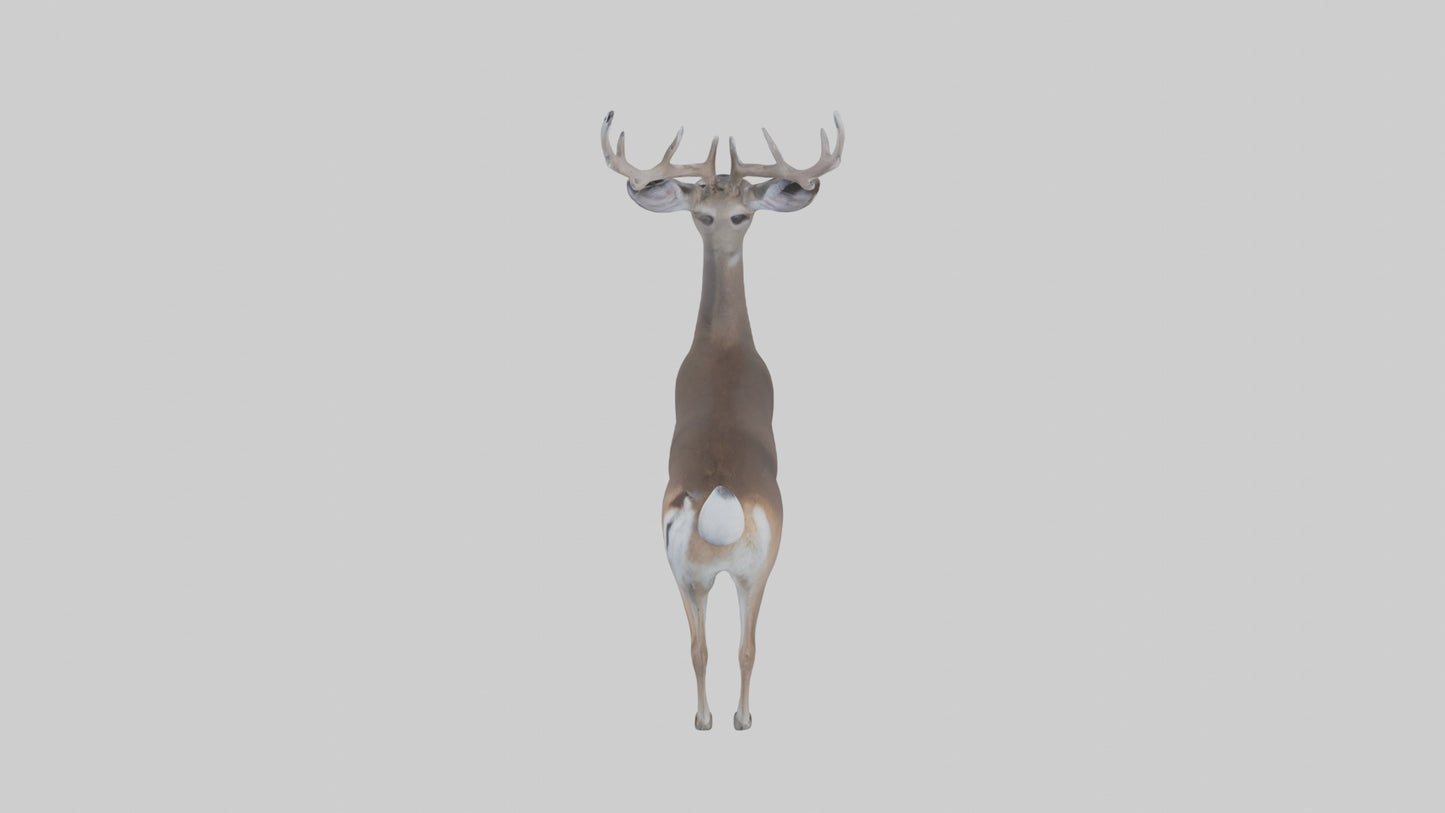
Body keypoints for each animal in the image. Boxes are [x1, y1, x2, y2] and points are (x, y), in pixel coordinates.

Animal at [600, 111, 844, 730]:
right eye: (704, 213)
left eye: (740, 212)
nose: (722, 223)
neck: (725, 348)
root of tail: (721, 499)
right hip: (751, 570)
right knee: (741, 646)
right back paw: (739, 718)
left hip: (691, 574)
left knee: (706, 646)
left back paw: (709, 719)